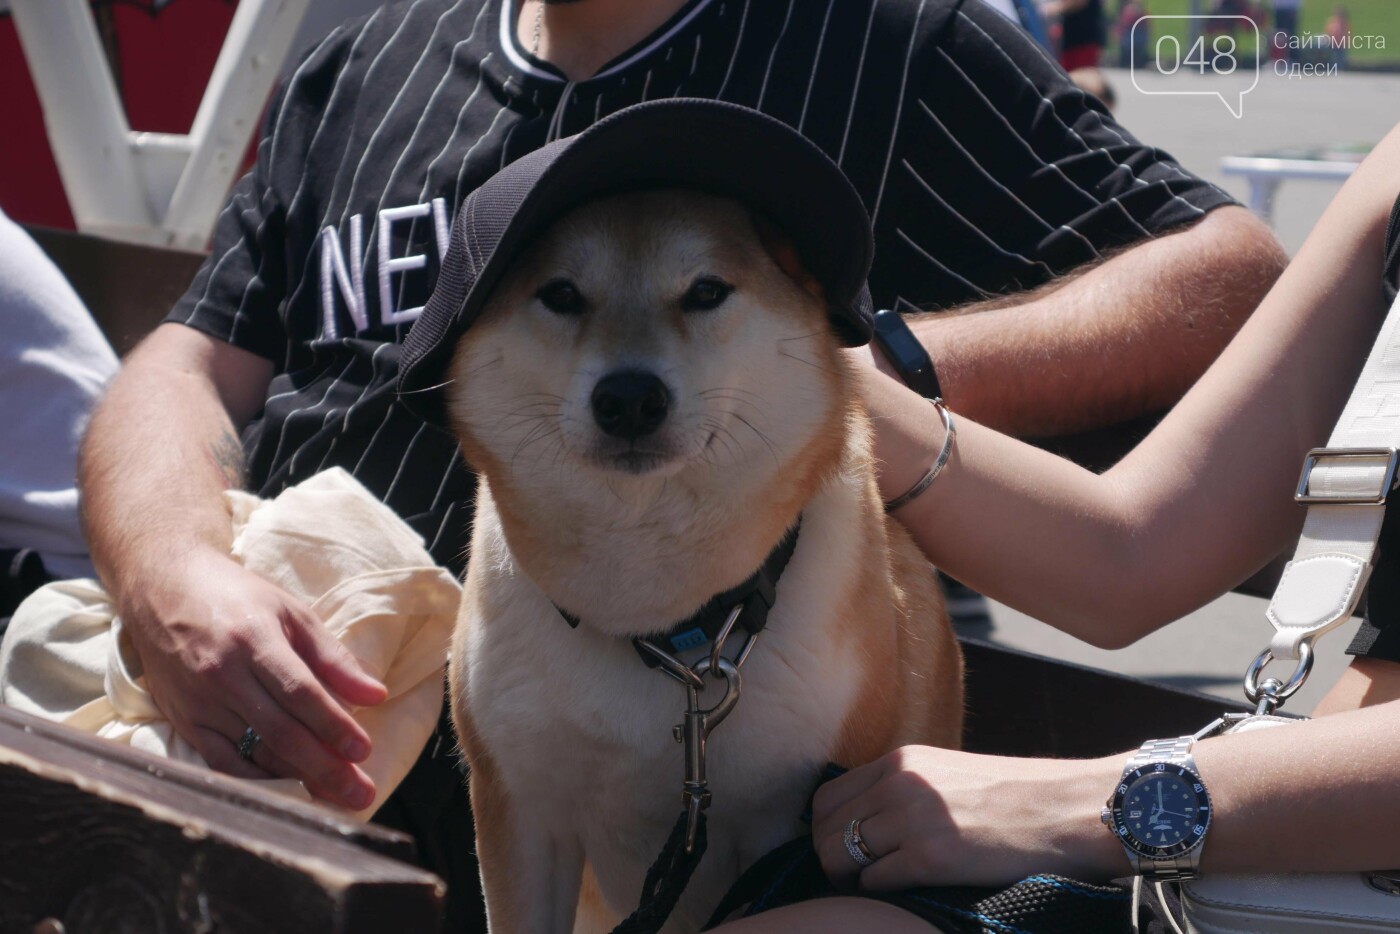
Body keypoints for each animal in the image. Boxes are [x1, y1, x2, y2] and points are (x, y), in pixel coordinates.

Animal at [394, 98, 963, 929]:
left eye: (705, 291)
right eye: (561, 294)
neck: (664, 630)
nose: (630, 396)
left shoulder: (782, 834)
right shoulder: (520, 810)